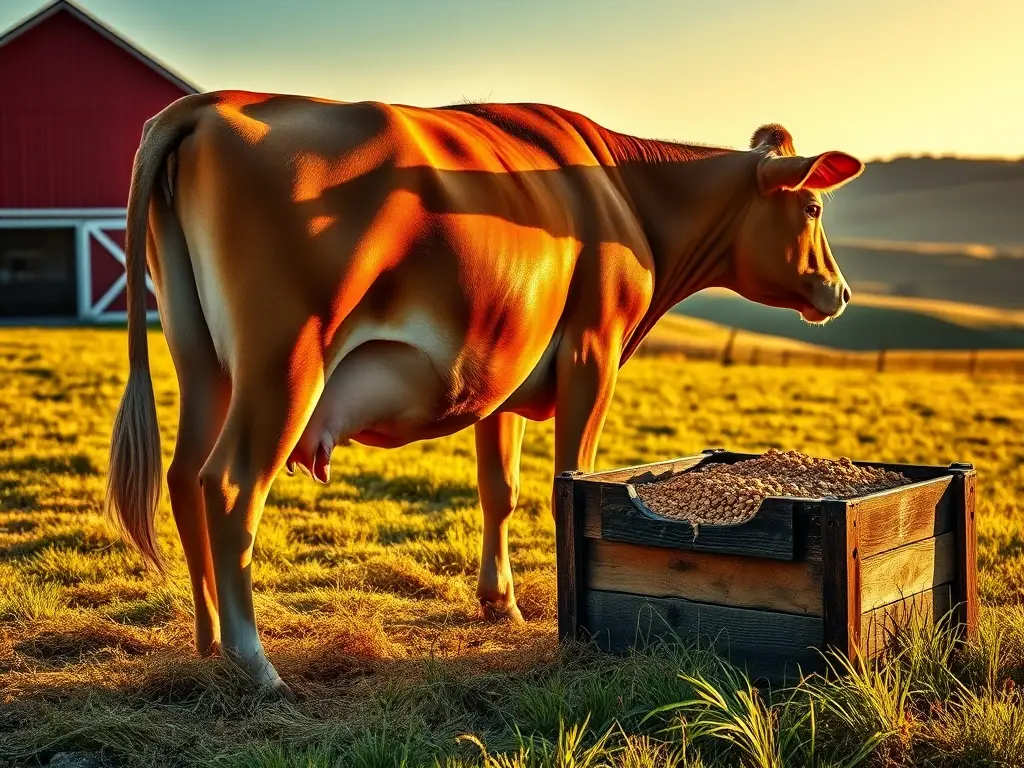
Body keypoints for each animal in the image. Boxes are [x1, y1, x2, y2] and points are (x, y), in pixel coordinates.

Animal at [105, 90, 863, 698]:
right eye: (814, 206)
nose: (842, 291)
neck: (628, 196)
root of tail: (210, 105)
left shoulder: (501, 380)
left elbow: (500, 490)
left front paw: (500, 604)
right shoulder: (592, 353)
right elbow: (567, 484)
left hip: (202, 361)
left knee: (183, 479)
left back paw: (207, 644)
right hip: (283, 364)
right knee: (230, 485)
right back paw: (255, 664)